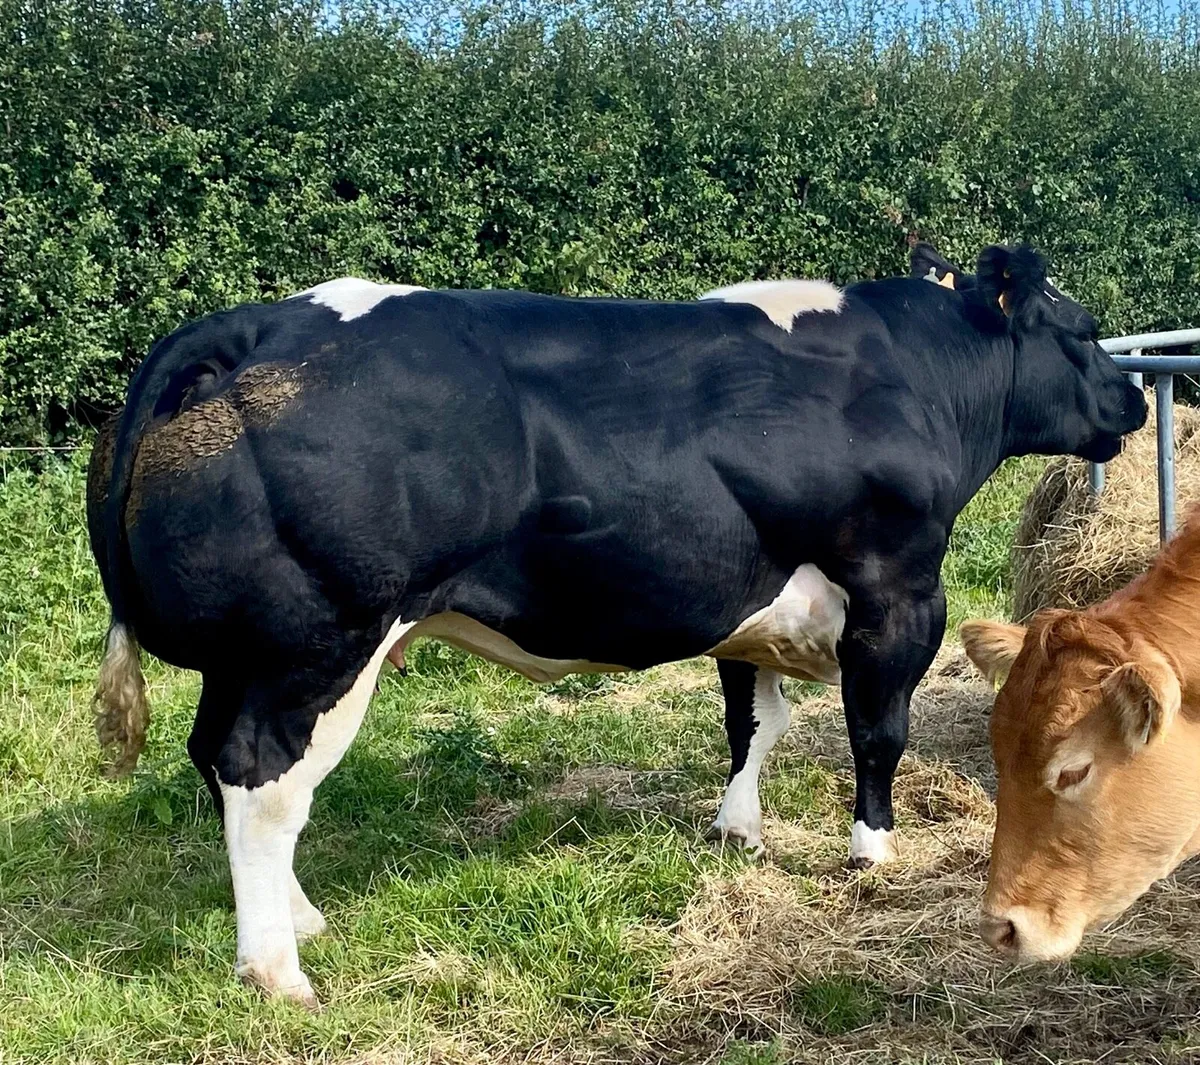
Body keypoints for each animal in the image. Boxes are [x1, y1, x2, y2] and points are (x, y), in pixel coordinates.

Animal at [87, 242, 1145, 1004]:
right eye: (1083, 328)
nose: (1136, 395)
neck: (911, 376)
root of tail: (255, 320)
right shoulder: (898, 587)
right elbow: (877, 730)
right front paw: (871, 853)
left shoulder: (744, 602)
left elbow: (753, 724)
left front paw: (740, 831)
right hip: (321, 642)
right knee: (264, 781)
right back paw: (278, 969)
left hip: (246, 655)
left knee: (215, 758)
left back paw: (300, 920)